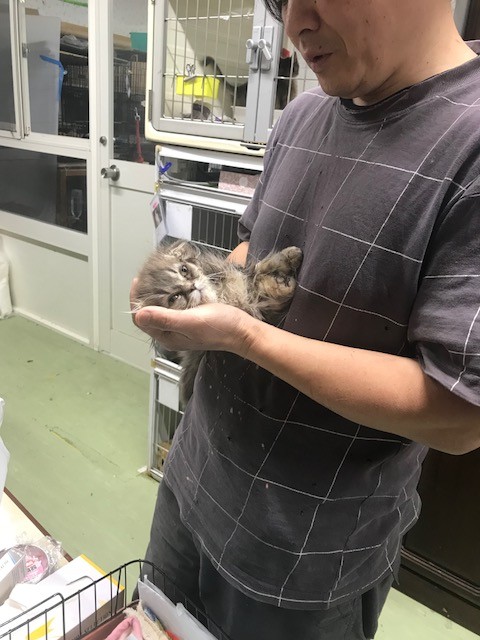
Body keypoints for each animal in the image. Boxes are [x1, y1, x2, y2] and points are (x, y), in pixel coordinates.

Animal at [133, 239, 303, 406]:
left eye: (184, 270)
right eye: (174, 298)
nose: (192, 287)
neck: (221, 295)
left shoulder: (246, 281)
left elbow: (261, 268)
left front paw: (291, 255)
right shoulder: (259, 306)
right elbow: (266, 284)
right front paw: (283, 284)